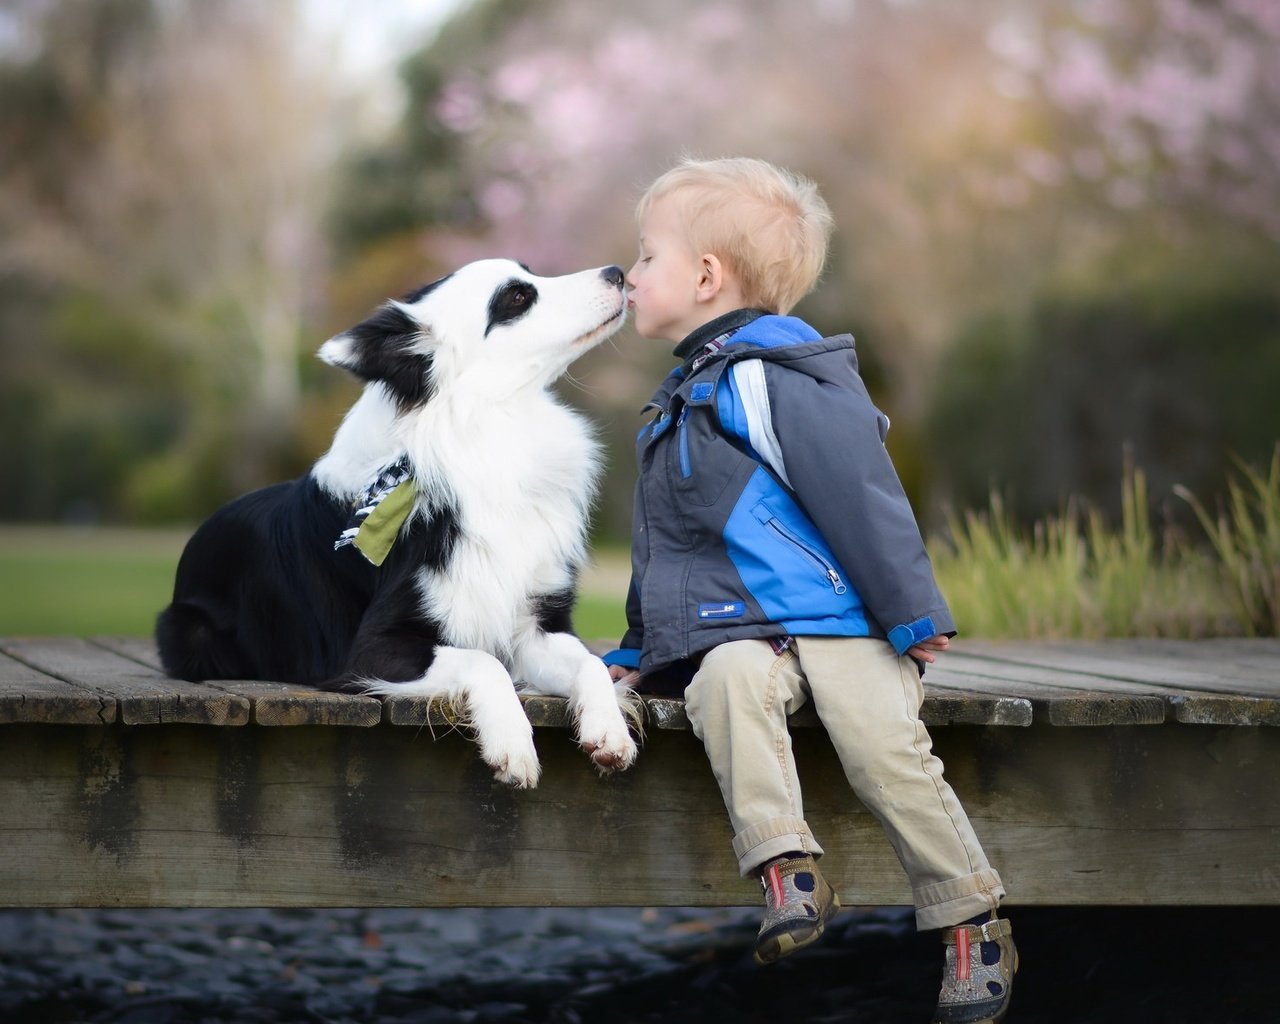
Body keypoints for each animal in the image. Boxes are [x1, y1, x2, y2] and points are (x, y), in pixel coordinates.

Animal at [157, 259, 637, 788]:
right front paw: (512, 745)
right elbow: (485, 660)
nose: (617, 273)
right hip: (191, 631)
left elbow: (591, 661)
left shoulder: (536, 625)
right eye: (515, 298)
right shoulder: (372, 649)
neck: (487, 432)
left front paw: (608, 730)